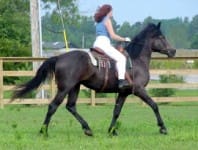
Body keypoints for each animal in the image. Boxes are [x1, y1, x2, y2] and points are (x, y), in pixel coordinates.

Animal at [12, 22, 176, 136]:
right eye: (161, 37)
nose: (173, 51)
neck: (136, 60)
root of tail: (59, 57)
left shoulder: (123, 93)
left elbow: (116, 111)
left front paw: (112, 131)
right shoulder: (139, 90)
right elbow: (154, 105)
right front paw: (163, 128)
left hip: (75, 87)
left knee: (70, 106)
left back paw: (87, 129)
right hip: (65, 88)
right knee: (53, 106)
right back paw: (44, 131)